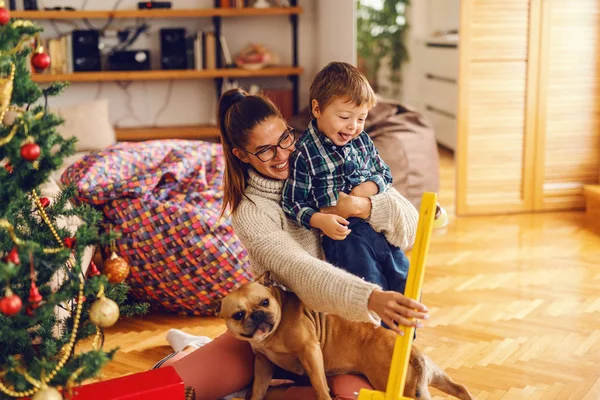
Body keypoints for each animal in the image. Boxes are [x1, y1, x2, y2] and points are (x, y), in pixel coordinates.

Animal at [218, 276, 476, 400]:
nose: (258, 315)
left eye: (265, 302)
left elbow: (318, 382)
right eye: (239, 315)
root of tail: (410, 353)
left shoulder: (310, 350)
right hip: (434, 377)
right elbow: (259, 389)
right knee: (459, 388)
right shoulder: (262, 363)